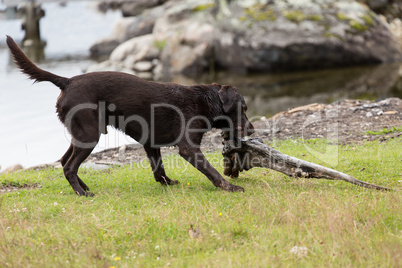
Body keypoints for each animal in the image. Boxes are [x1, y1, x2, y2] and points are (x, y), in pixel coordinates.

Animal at [6, 35, 254, 196]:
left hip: (80, 135)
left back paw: (83, 187)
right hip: (89, 135)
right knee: (69, 166)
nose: (252, 130)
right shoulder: (188, 148)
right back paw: (82, 194)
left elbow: (159, 169)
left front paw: (167, 183)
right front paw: (231, 188)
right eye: (243, 108)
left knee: (65, 161)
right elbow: (212, 172)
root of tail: (67, 81)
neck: (205, 100)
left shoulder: (151, 143)